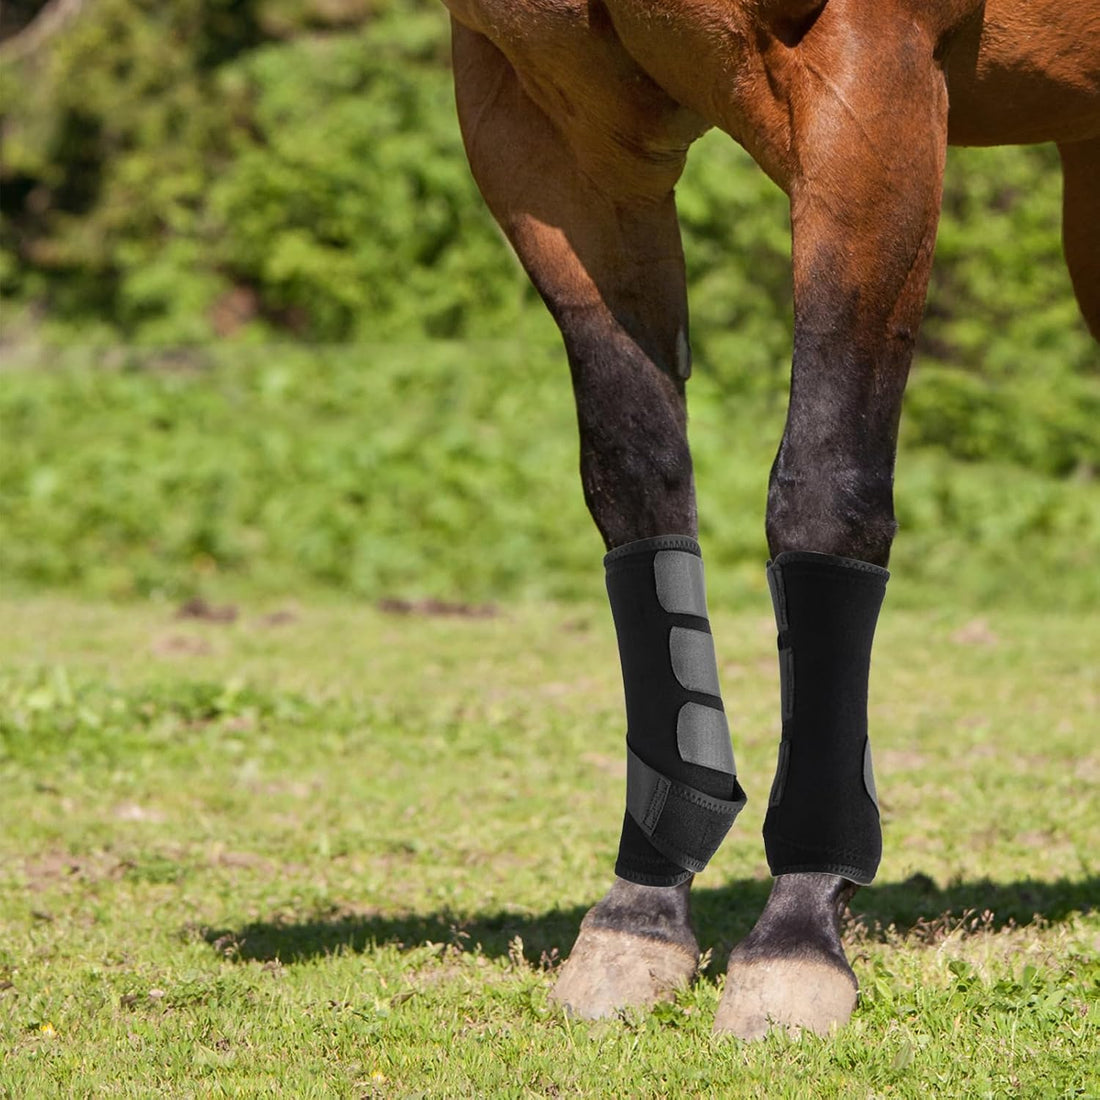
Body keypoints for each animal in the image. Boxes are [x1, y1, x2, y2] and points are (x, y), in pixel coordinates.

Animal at [438, 0, 1100, 1037]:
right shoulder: (551, 123)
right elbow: (636, 481)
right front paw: (638, 919)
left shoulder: (870, 85)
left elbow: (825, 489)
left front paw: (797, 934)